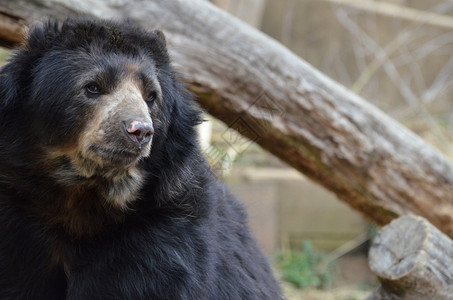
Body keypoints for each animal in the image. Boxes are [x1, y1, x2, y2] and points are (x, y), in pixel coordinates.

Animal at [0, 19, 282, 300]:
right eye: (92, 87)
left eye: (151, 96)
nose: (140, 131)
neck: (84, 197)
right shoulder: (18, 226)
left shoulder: (167, 234)